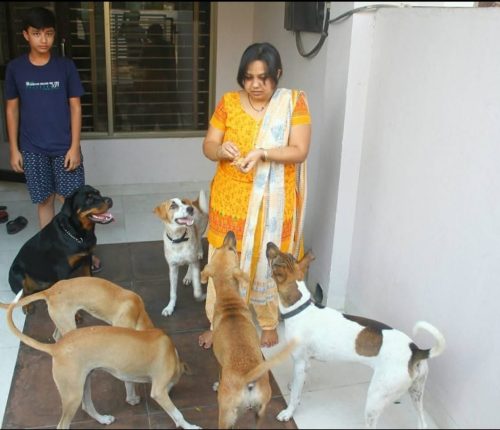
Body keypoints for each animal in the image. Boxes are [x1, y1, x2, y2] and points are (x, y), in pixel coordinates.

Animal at [6, 292, 200, 430]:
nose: (171, 391)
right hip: (72, 395)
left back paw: (103, 419)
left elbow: (129, 384)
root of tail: (56, 347)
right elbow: (178, 414)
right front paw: (190, 426)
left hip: (83, 384)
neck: (172, 353)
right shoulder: (159, 391)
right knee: (63, 425)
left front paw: (132, 398)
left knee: (87, 406)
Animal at [152, 190, 207, 318]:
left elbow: (197, 291)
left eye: (183, 203)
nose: (190, 209)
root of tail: (195, 202)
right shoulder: (172, 268)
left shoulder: (194, 262)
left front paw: (201, 296)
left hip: (199, 232)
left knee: (199, 241)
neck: (179, 239)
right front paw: (170, 307)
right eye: (173, 206)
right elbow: (172, 293)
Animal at [201, 232, 296, 430]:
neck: (228, 299)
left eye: (230, 249)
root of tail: (248, 378)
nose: (230, 233)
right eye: (222, 247)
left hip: (225, 415)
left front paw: (216, 384)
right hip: (261, 412)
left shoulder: (218, 360)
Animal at [266, 244, 446, 428]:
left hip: (375, 398)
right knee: (422, 423)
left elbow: (295, 395)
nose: (269, 244)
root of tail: (415, 351)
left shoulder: (300, 363)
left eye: (274, 260)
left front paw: (288, 412)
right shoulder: (305, 364)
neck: (300, 308)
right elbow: (297, 384)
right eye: (285, 254)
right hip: (416, 393)